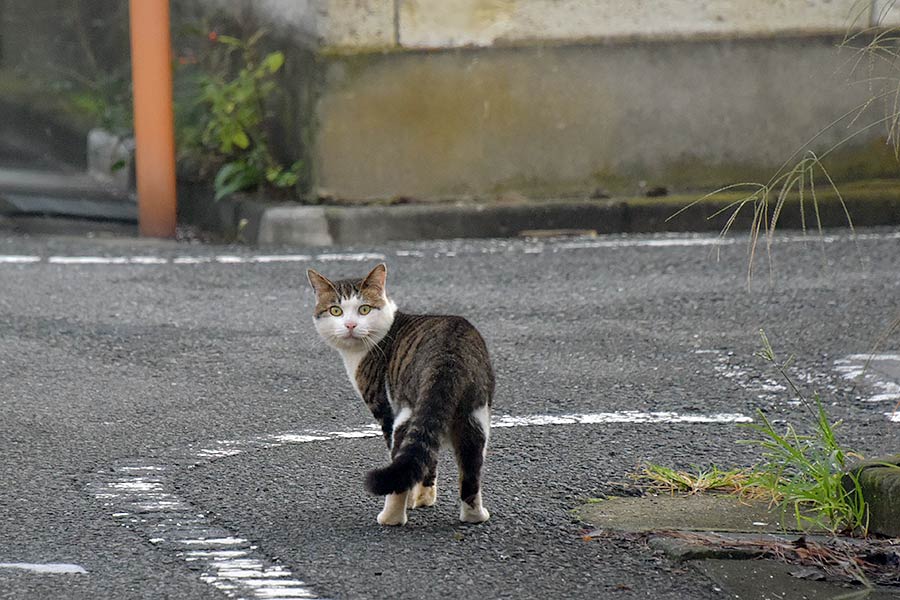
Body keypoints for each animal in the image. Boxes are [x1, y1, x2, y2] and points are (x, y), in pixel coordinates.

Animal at [308, 264, 492, 524]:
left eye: (364, 309)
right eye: (336, 311)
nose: (350, 326)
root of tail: (447, 355)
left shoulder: (383, 408)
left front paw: (414, 499)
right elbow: (427, 460)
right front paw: (425, 498)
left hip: (405, 415)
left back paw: (390, 518)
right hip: (474, 415)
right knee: (471, 469)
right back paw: (475, 516)